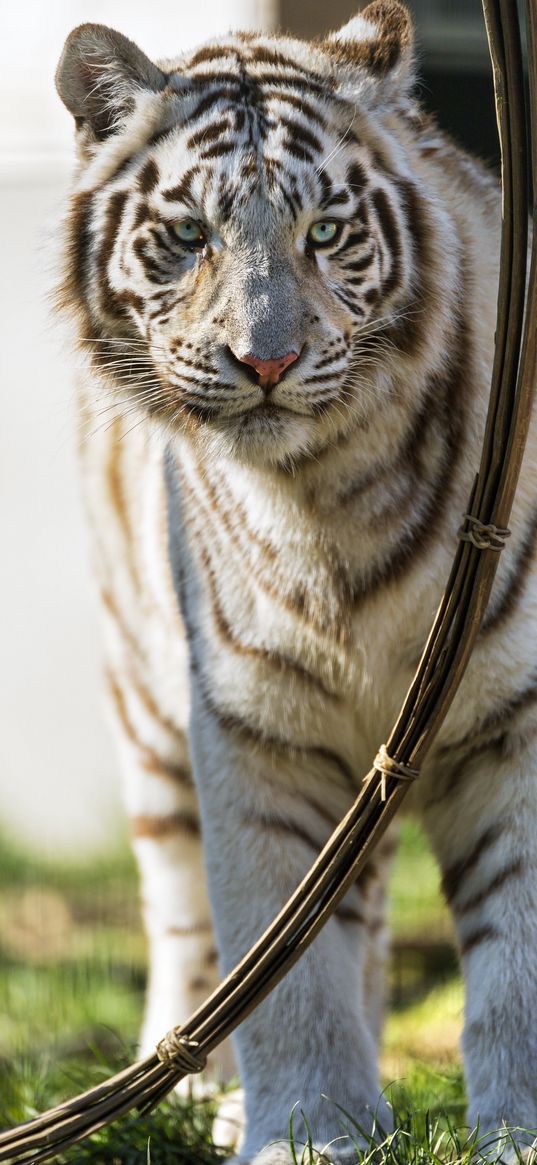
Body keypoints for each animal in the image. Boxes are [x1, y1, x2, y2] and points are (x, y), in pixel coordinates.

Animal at [53, 4, 535, 1160]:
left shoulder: (519, 711)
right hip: (150, 724)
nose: (264, 360)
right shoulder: (250, 725)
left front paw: (522, 1131)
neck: (327, 499)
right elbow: (282, 962)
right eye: (190, 237)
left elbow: (518, 953)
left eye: (323, 233)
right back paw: (197, 1092)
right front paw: (310, 1131)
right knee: (187, 916)